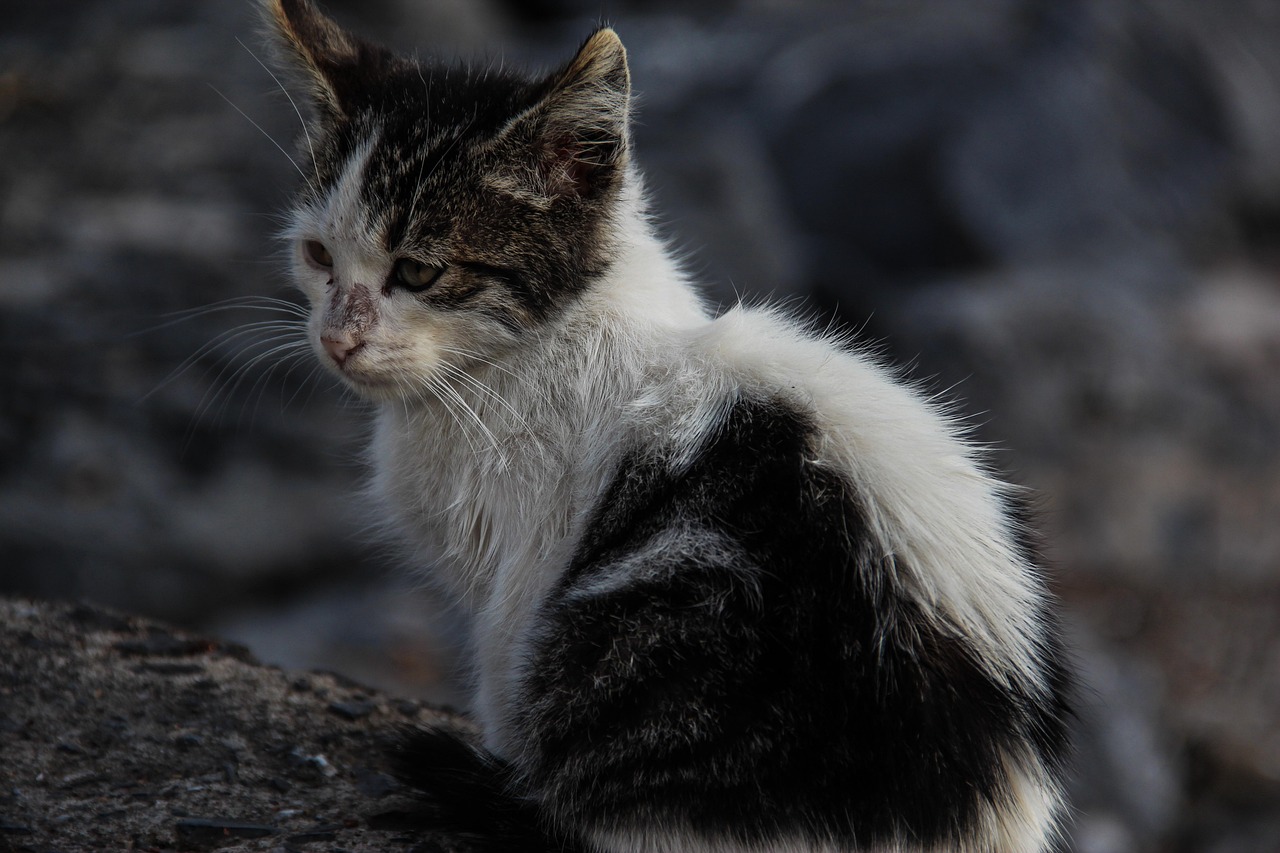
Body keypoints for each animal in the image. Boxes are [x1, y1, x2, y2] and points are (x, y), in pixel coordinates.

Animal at [264, 3, 1075, 845]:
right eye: (318, 255)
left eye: (420, 271)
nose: (337, 338)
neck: (544, 343)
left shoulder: (521, 574)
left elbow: (502, 665)